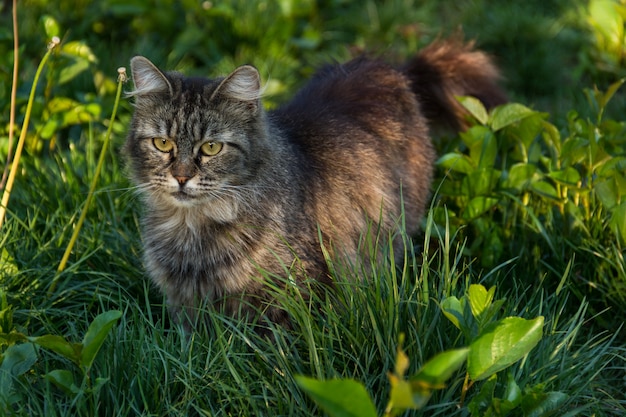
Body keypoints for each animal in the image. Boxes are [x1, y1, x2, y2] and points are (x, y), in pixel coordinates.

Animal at [124, 38, 504, 328]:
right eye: (163, 144)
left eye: (211, 147)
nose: (182, 176)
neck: (191, 229)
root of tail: (391, 67)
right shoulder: (185, 305)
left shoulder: (291, 296)